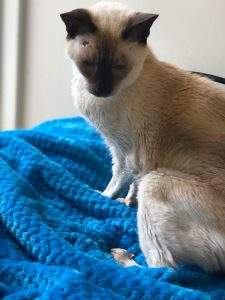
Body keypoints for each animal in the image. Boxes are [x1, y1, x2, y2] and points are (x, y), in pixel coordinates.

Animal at [61, 0, 225, 272]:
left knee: (164, 268)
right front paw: (126, 203)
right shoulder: (128, 155)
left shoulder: (125, 153)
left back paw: (118, 256)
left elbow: (115, 182)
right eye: (89, 64)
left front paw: (101, 197)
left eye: (119, 67)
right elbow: (130, 187)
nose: (101, 89)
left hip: (156, 182)